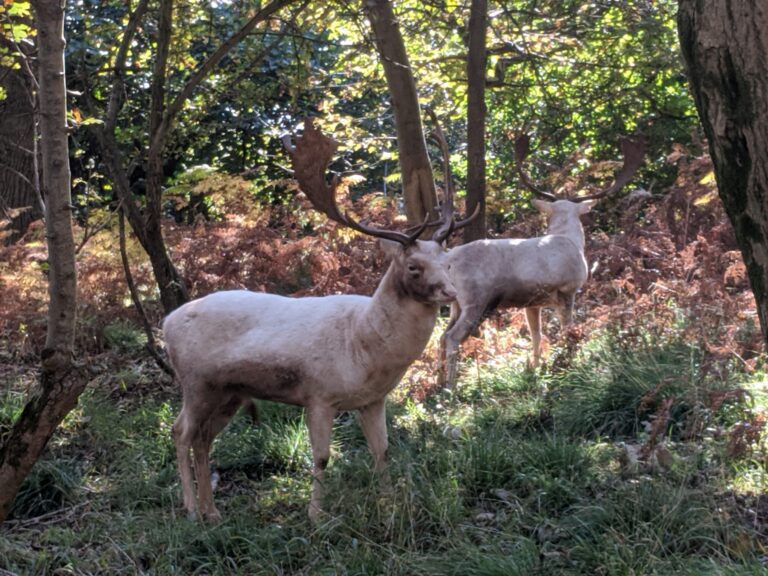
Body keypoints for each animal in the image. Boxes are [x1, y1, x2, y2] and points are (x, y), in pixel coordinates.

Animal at [164, 118, 474, 520]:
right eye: (413, 267)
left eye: (446, 260)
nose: (449, 292)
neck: (363, 346)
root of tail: (166, 323)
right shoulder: (319, 394)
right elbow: (323, 457)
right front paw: (314, 516)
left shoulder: (372, 399)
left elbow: (382, 450)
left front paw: (388, 504)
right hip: (195, 381)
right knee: (180, 431)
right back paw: (189, 508)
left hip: (228, 391)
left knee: (202, 438)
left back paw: (212, 512)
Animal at [438, 135, 640, 388]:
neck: (571, 241)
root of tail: (448, 259)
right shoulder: (568, 289)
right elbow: (567, 329)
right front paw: (568, 363)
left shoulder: (532, 302)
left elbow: (536, 334)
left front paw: (534, 369)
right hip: (475, 298)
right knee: (451, 337)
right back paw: (450, 387)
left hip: (456, 303)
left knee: (440, 336)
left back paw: (438, 382)